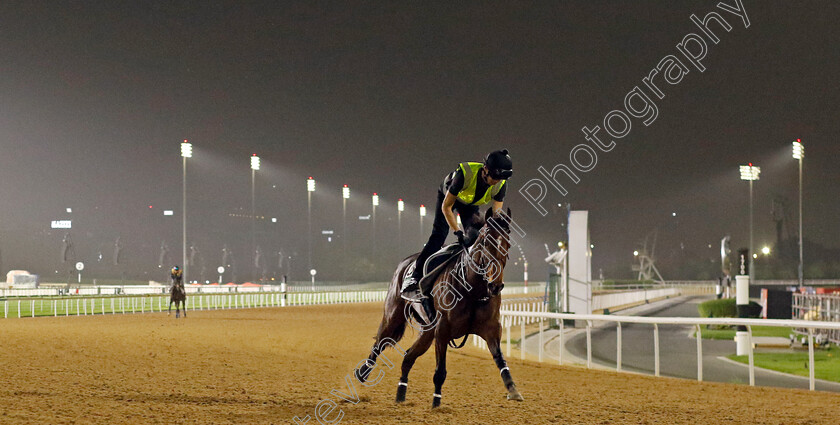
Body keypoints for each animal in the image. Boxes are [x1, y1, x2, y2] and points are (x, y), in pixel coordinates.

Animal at [356, 207, 524, 406]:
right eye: (485, 241)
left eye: (508, 244)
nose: (495, 285)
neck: (472, 290)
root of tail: (405, 262)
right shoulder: (442, 330)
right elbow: (440, 371)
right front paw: (436, 403)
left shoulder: (491, 329)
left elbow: (501, 360)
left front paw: (513, 390)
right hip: (394, 316)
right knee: (379, 344)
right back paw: (362, 374)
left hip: (427, 331)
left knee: (408, 357)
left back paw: (401, 395)